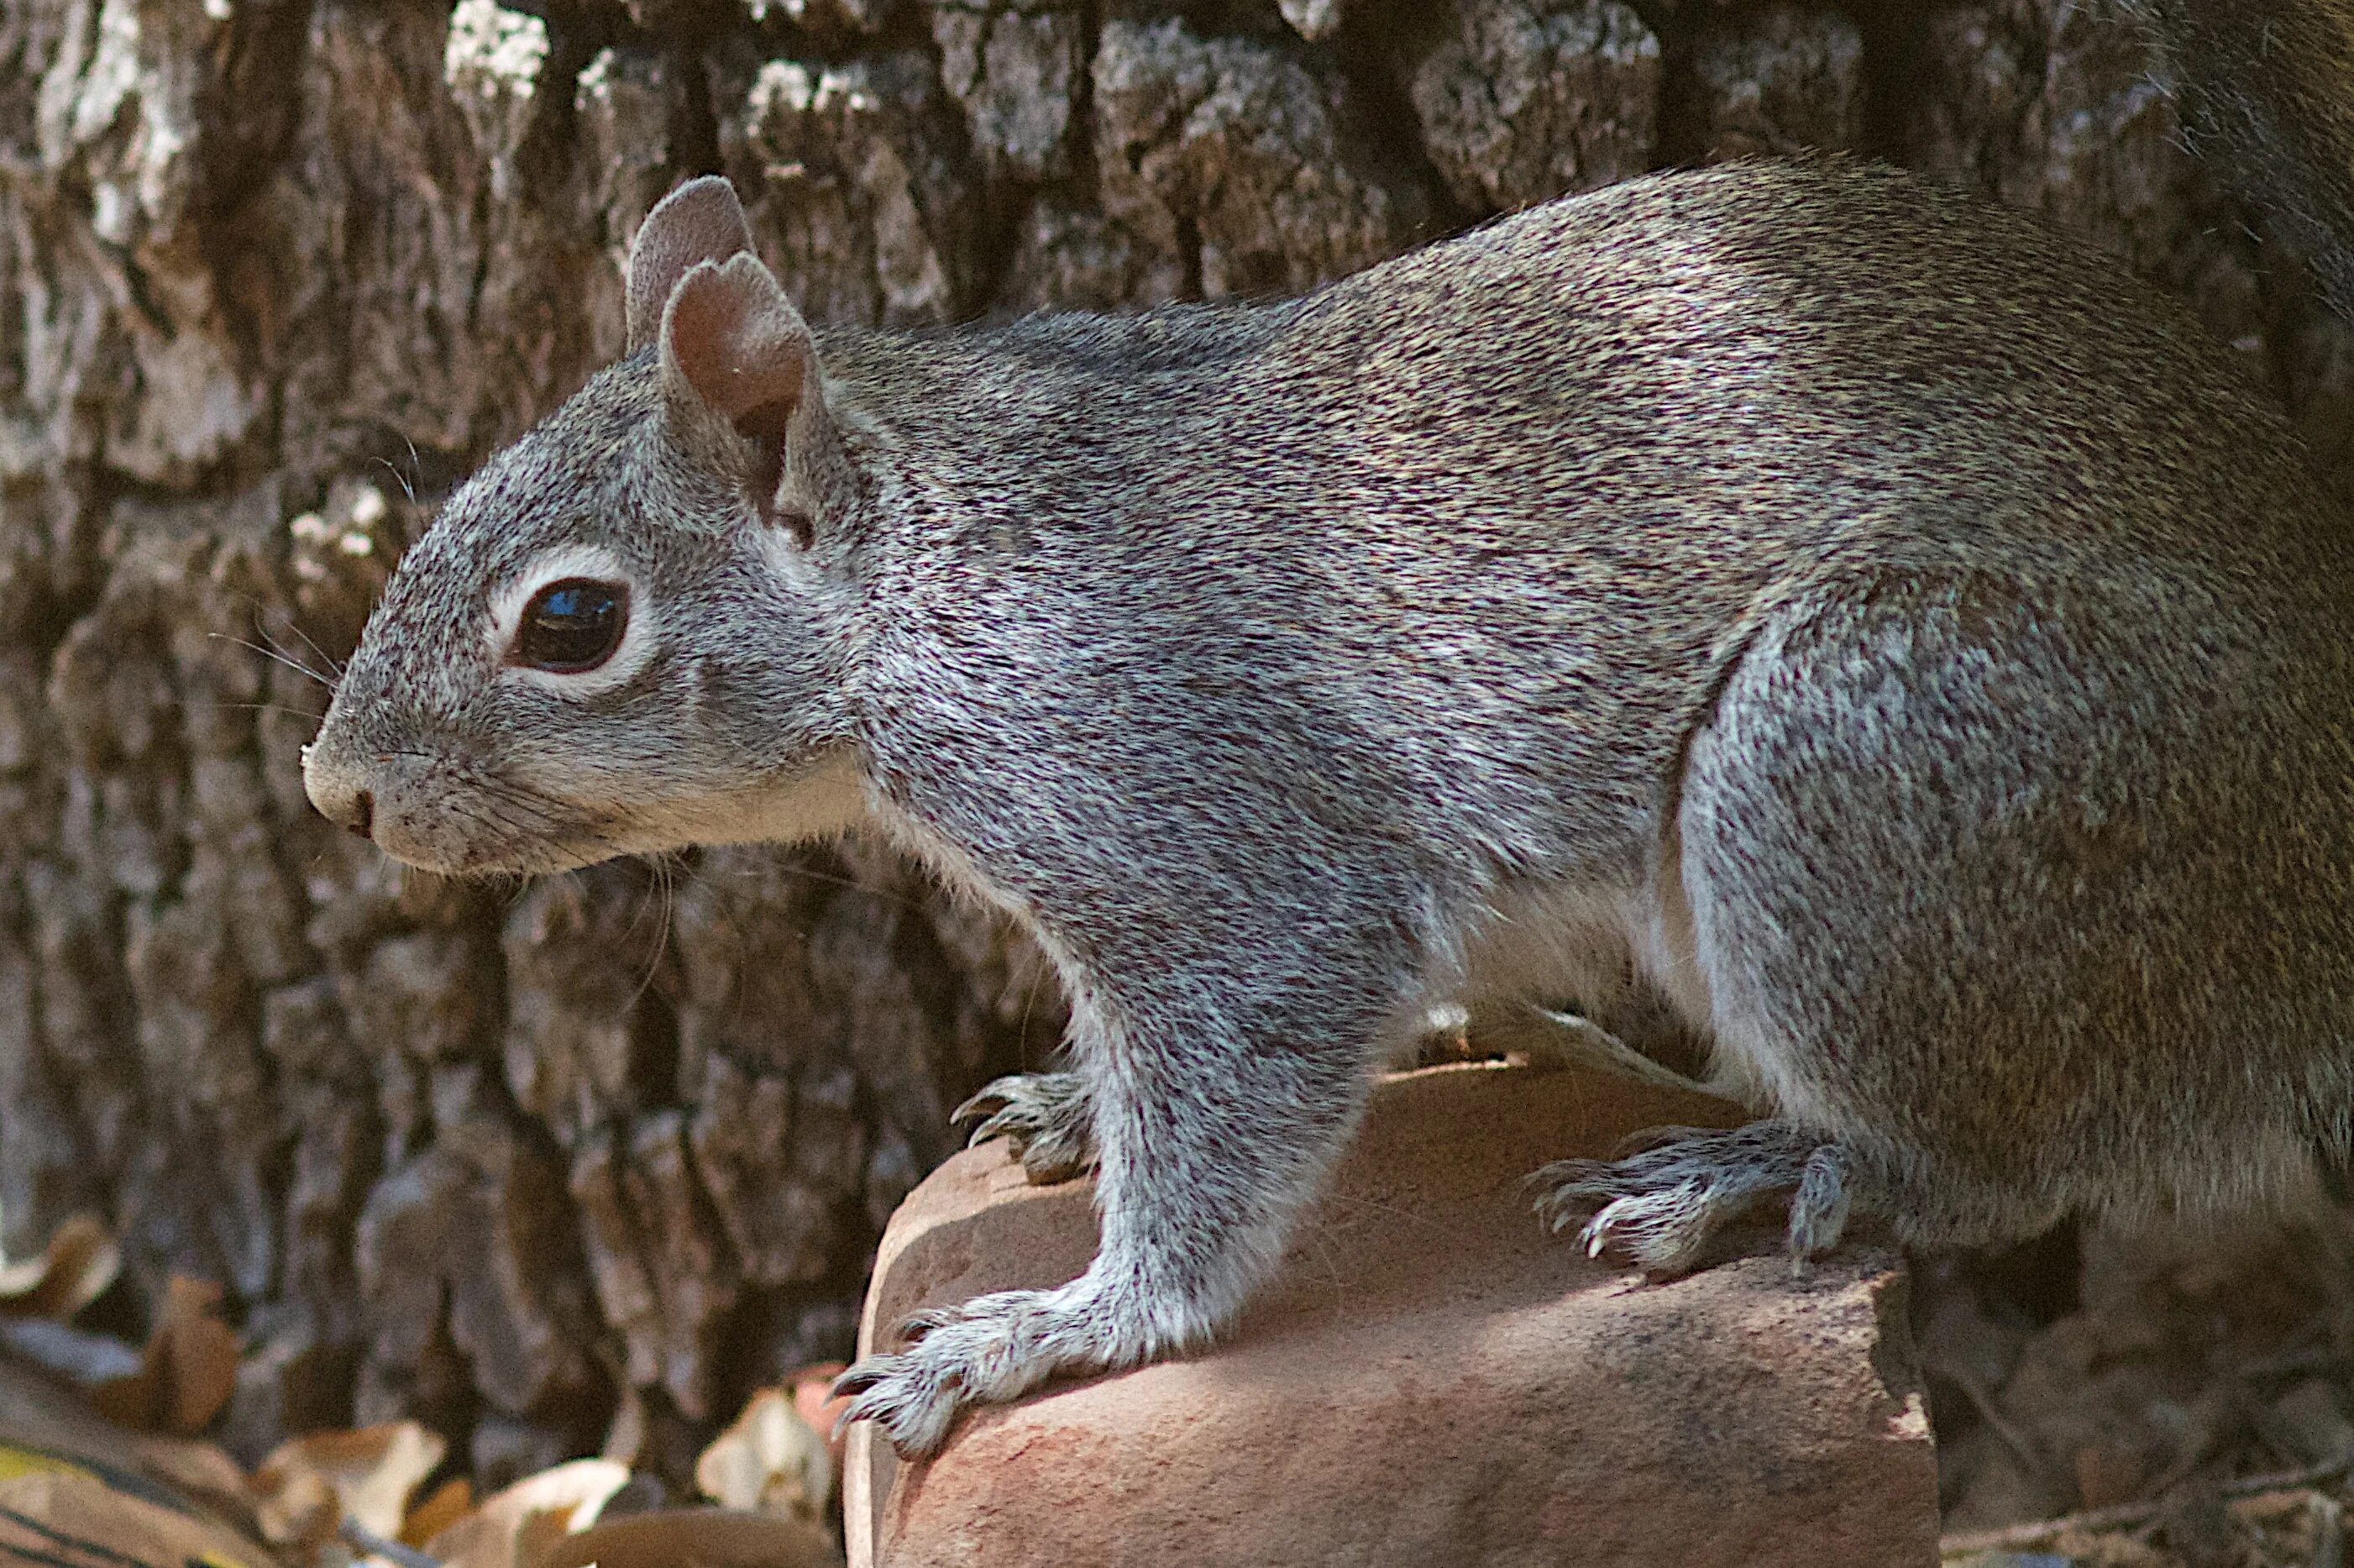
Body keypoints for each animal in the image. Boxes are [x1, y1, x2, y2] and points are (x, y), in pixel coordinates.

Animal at [303, 6, 2354, 1460]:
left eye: (573, 624)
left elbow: (1229, 1110)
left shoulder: (1208, 820)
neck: (939, 566)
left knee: (1991, 1163)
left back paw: (1753, 1173)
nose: (336, 790)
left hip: (1875, 767)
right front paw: (1066, 1101)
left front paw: (1055, 1329)